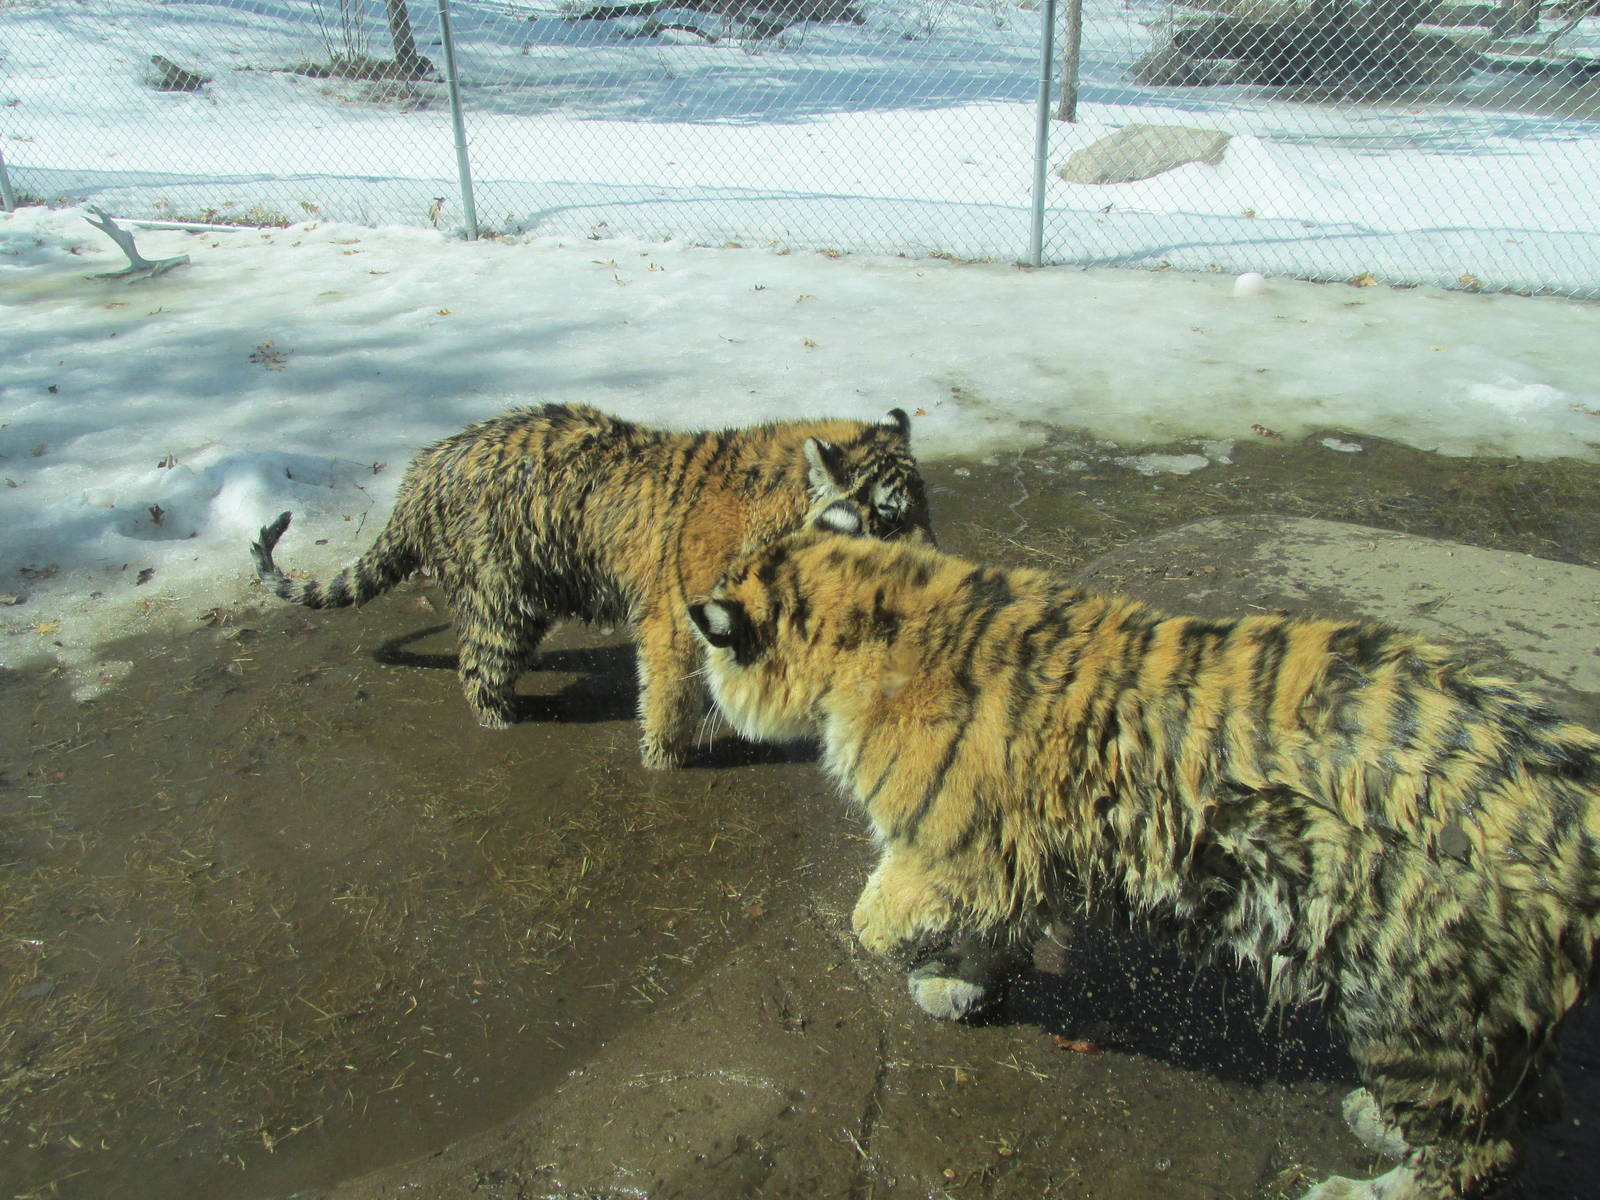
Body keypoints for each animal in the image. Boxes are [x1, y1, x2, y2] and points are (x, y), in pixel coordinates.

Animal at [250, 403, 931, 767]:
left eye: (926, 508)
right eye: (890, 517)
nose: (935, 563)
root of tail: (420, 472)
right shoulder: (673, 623)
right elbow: (669, 699)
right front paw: (664, 761)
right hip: (500, 602)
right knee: (478, 673)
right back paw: (505, 726)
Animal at [687, 528, 1600, 1200]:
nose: (702, 686)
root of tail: (1570, 801)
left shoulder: (958, 849)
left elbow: (875, 914)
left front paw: (903, 953)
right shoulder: (1014, 858)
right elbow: (993, 934)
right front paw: (960, 986)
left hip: (1409, 996)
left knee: (1476, 1153)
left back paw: (1357, 1180)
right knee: (1504, 1108)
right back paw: (1380, 1121)